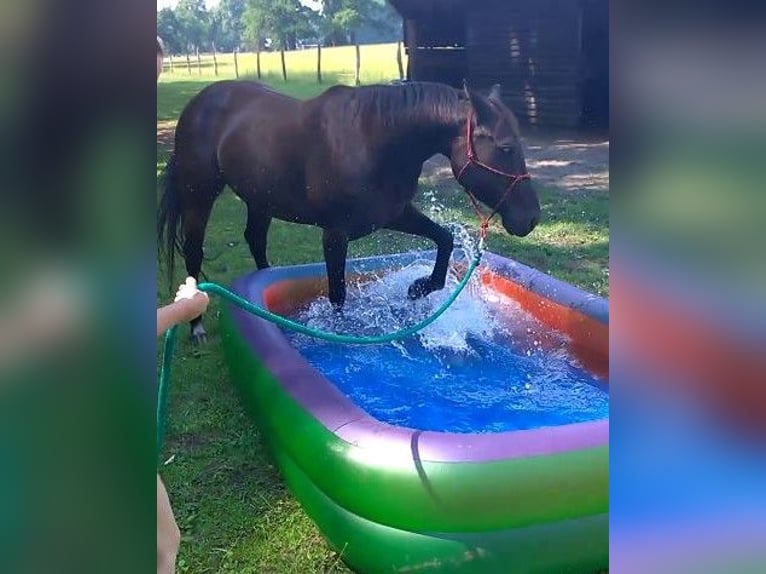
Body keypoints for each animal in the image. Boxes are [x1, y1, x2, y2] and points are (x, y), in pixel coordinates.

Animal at [158, 80, 540, 343]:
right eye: (506, 147)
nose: (531, 219)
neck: (376, 139)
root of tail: (199, 102)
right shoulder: (335, 234)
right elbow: (338, 295)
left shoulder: (394, 214)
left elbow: (444, 239)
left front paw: (419, 288)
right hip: (199, 196)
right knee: (194, 253)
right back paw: (195, 326)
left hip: (259, 200)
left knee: (255, 241)